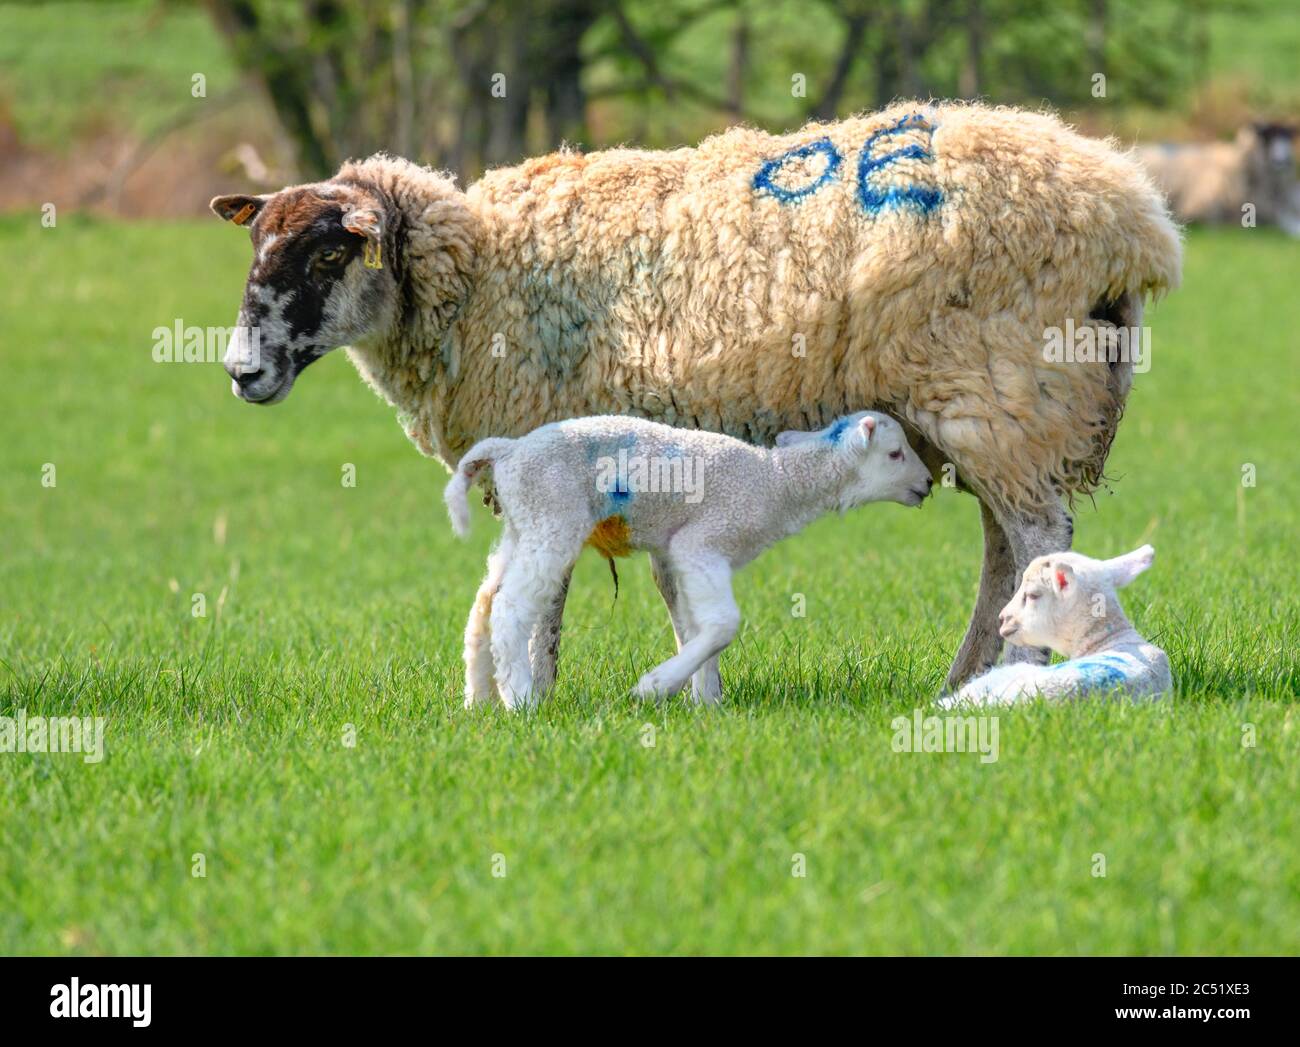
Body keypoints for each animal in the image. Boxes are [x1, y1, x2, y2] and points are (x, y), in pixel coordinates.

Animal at [447, 410, 935, 712]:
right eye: (895, 453)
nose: (929, 483)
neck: (777, 482)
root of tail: (507, 451)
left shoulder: (679, 556)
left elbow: (694, 627)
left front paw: (706, 702)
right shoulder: (703, 541)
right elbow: (722, 624)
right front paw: (655, 687)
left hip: (522, 525)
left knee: (483, 604)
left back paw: (478, 700)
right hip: (552, 518)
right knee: (510, 609)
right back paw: (522, 701)